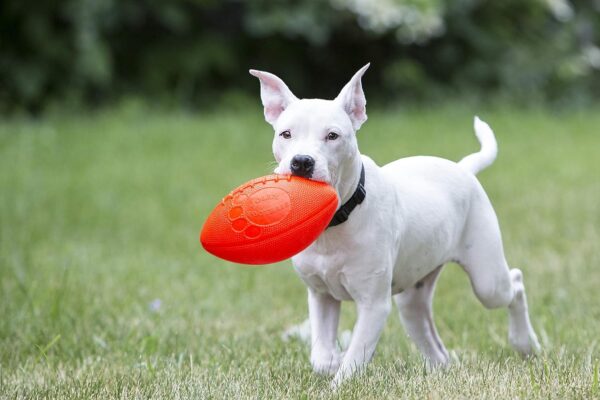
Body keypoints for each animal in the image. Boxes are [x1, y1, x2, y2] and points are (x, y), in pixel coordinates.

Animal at [248, 63, 540, 388]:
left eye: (333, 136)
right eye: (285, 134)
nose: (301, 162)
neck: (340, 218)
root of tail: (463, 169)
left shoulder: (374, 304)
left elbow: (355, 357)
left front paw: (340, 380)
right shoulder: (321, 295)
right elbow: (321, 355)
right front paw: (331, 359)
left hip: (487, 279)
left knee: (514, 284)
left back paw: (526, 344)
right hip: (413, 298)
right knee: (431, 339)